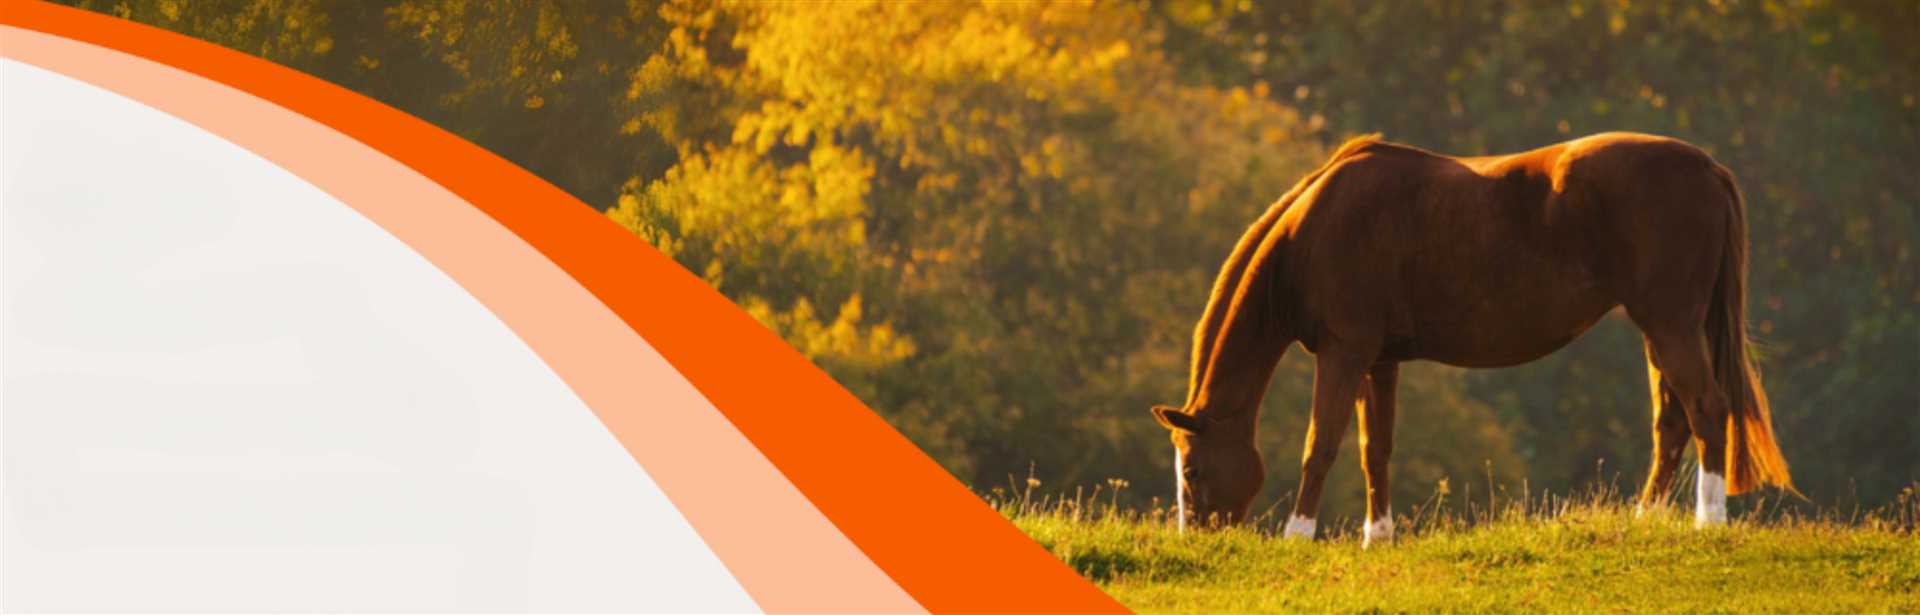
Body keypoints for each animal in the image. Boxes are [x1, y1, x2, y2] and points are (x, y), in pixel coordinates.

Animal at [1150, 132, 1794, 547]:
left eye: (1191, 472)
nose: (1199, 540)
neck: (1314, 231)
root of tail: (1707, 167)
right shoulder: (1378, 361)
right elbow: (1374, 450)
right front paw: (1377, 538)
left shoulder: (1343, 352)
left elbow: (1322, 445)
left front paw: (1296, 535)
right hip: (1661, 329)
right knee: (1673, 422)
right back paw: (1645, 519)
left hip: (1671, 323)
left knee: (1708, 408)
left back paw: (1709, 521)